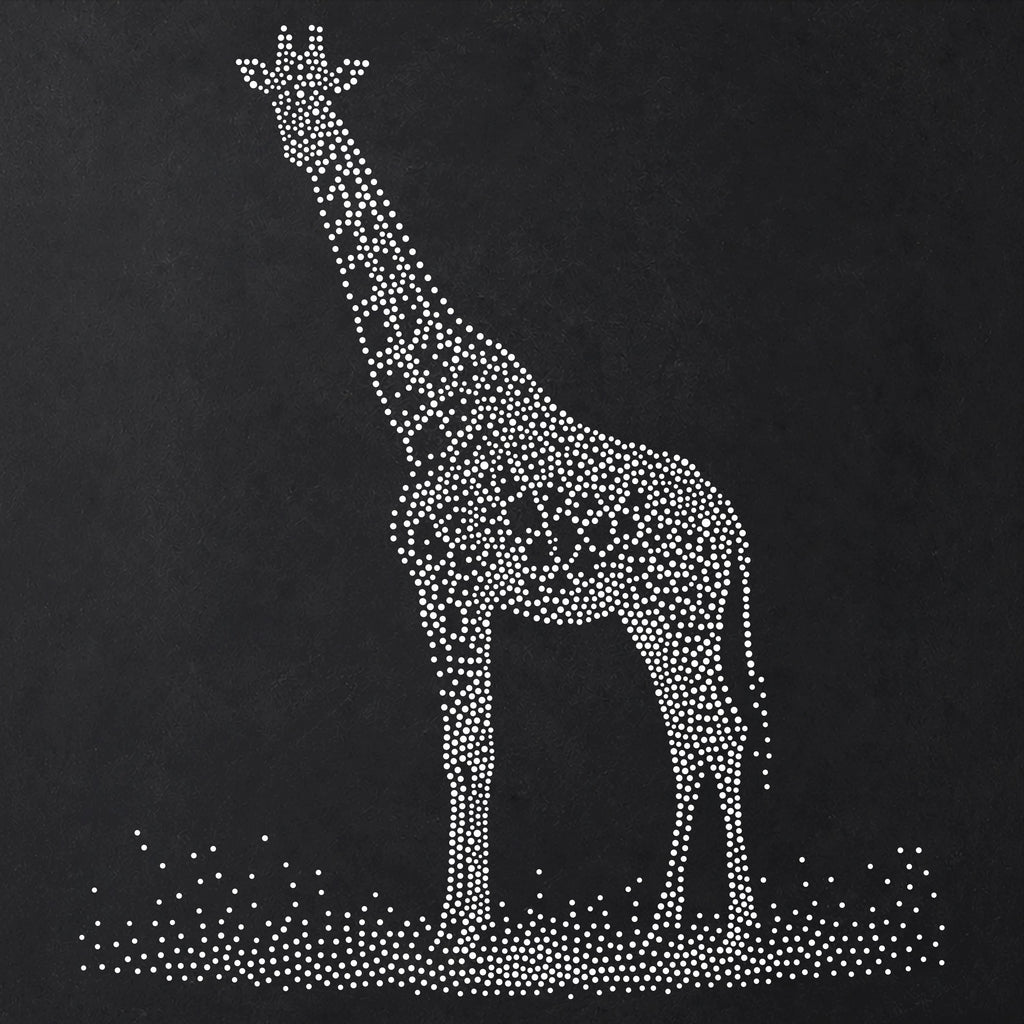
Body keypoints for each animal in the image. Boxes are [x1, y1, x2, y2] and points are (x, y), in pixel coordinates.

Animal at [238, 26, 769, 948]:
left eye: (321, 98)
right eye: (279, 98)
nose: (300, 149)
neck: (425, 416)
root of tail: (733, 525)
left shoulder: (450, 587)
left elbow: (470, 752)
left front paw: (460, 931)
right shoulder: (457, 594)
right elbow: (473, 749)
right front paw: (469, 923)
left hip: (679, 612)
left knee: (718, 733)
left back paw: (731, 931)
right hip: (663, 620)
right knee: (692, 736)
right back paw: (663, 925)